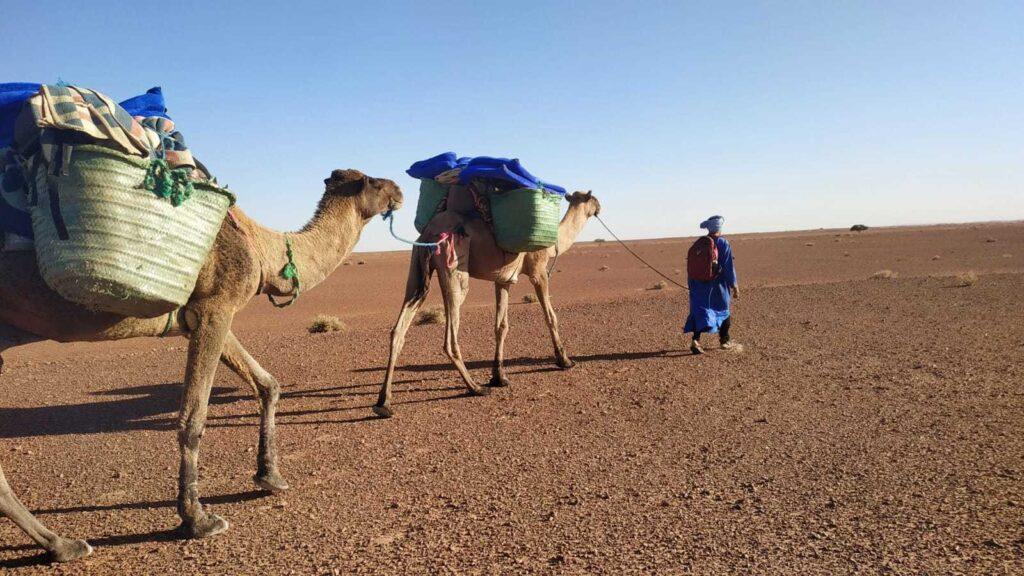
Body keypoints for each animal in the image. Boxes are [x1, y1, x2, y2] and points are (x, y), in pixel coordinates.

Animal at [2, 167, 401, 561]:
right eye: (375, 182)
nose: (399, 190)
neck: (261, 248)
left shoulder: (200, 317)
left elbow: (268, 384)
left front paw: (269, 477)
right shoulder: (216, 307)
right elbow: (193, 418)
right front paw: (197, 519)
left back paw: (60, 544)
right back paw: (65, 543)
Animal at [374, 188, 598, 416]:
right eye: (593, 200)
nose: (599, 207)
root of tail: (430, 230)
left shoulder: (503, 280)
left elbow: (501, 326)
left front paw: (499, 377)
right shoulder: (538, 271)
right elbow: (550, 317)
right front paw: (565, 360)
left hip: (418, 266)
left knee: (399, 329)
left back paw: (384, 403)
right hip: (453, 263)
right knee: (450, 336)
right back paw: (475, 387)